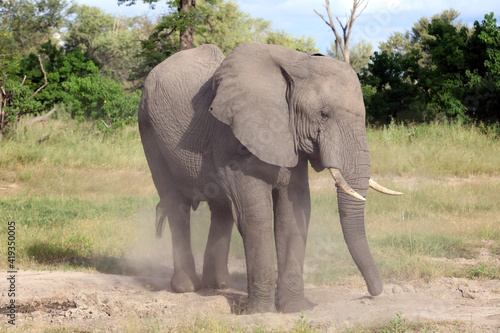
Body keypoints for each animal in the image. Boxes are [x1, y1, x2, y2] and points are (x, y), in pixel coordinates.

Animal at [138, 40, 402, 312]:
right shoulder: (233, 136)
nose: (373, 293)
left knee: (221, 209)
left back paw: (218, 286)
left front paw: (296, 308)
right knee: (175, 204)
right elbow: (257, 215)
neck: (295, 64)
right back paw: (186, 288)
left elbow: (294, 213)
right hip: (148, 130)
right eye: (324, 114)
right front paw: (259, 312)